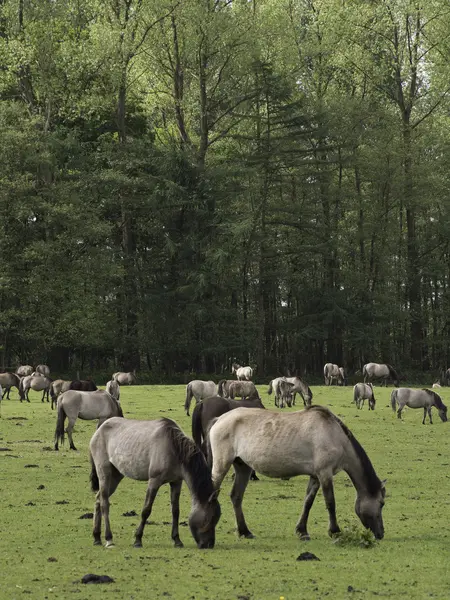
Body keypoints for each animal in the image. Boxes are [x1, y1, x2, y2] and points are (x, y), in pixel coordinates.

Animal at [89, 418, 221, 548]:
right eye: (209, 519)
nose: (209, 544)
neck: (173, 448)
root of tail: (100, 429)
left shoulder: (176, 482)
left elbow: (175, 511)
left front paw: (177, 540)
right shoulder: (154, 481)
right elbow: (146, 510)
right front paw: (138, 539)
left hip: (116, 476)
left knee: (98, 499)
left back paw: (96, 537)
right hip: (104, 472)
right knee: (104, 503)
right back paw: (109, 539)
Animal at [209, 406, 384, 540]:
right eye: (382, 503)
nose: (381, 533)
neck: (335, 435)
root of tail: (220, 419)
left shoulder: (316, 476)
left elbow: (308, 502)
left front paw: (302, 531)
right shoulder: (325, 473)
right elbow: (330, 502)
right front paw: (335, 531)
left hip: (243, 467)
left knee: (236, 497)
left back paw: (244, 532)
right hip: (222, 464)